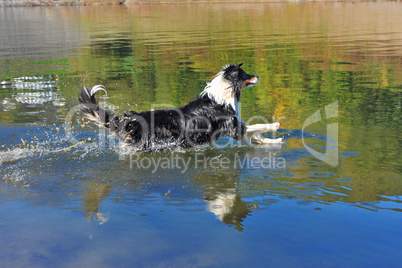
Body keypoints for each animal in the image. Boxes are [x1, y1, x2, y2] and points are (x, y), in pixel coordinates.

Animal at [79, 62, 282, 151]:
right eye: (245, 74)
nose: (257, 76)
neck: (221, 95)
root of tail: (129, 119)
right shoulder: (232, 127)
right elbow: (256, 126)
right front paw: (275, 126)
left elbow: (256, 135)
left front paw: (275, 141)